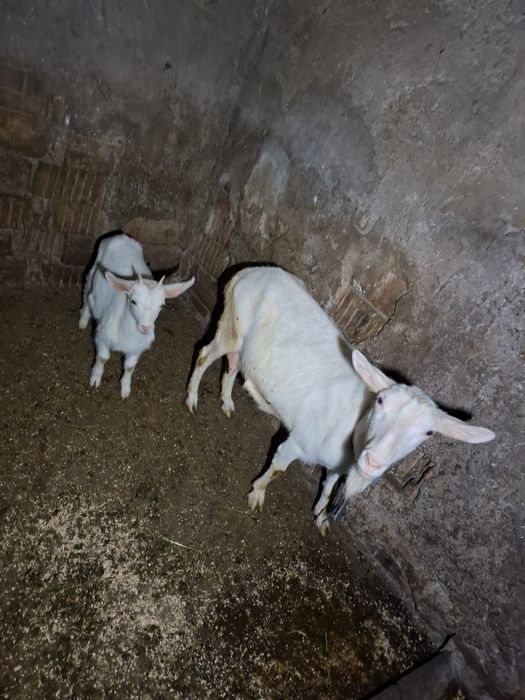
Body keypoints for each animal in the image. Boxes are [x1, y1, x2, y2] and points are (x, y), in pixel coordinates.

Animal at [80, 233, 194, 398]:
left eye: (161, 306)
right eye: (133, 301)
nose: (145, 328)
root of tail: (120, 235)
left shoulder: (137, 349)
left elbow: (129, 367)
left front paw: (125, 389)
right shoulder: (102, 336)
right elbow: (102, 357)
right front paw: (95, 379)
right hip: (93, 270)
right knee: (87, 294)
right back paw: (83, 320)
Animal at [186, 266, 495, 534]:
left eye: (429, 432)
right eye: (380, 401)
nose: (372, 463)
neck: (354, 429)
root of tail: (246, 272)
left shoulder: (339, 464)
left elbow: (329, 486)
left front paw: (321, 517)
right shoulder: (299, 442)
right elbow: (277, 470)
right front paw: (257, 495)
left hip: (241, 339)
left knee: (232, 364)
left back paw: (226, 403)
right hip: (232, 325)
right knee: (204, 354)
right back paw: (191, 399)